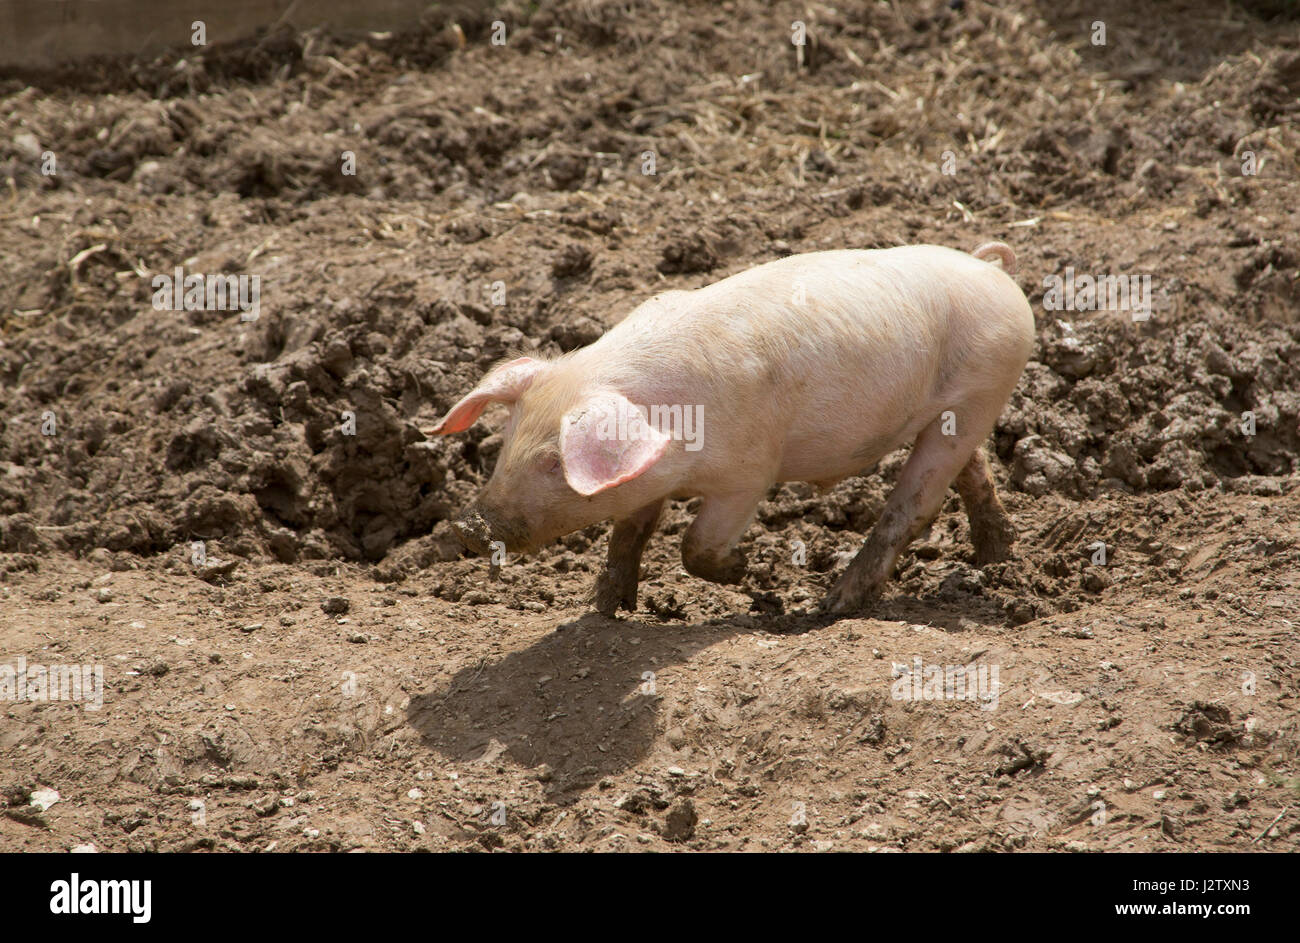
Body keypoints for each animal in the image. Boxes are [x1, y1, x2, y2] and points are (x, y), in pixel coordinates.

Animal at [428, 239, 1034, 613]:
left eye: (554, 462)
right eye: (506, 445)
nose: (468, 527)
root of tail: (991, 268)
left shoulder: (751, 472)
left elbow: (694, 545)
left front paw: (751, 577)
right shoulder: (647, 475)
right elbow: (630, 531)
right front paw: (605, 607)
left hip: (983, 386)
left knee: (913, 506)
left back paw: (831, 605)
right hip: (954, 410)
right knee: (972, 471)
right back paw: (997, 556)